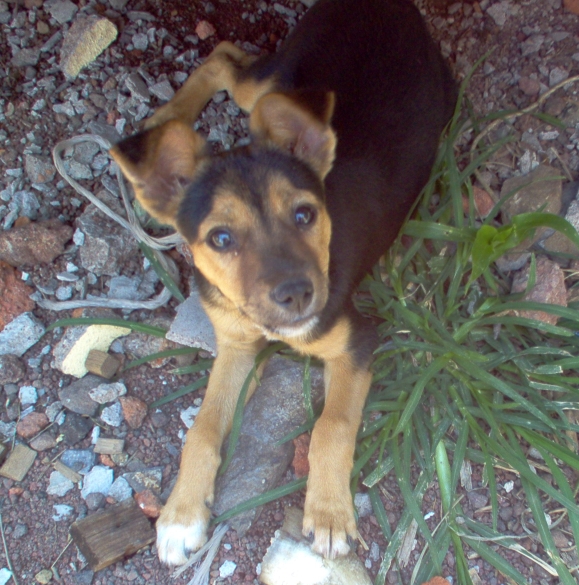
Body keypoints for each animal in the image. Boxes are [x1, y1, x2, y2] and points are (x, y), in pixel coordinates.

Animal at [110, 0, 456, 566]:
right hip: (269, 84)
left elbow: (331, 427)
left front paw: (330, 515)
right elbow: (202, 427)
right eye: (220, 238)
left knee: (229, 58)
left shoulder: (357, 341)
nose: (297, 295)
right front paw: (181, 515)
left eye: (304, 214)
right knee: (224, 57)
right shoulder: (234, 344)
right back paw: (166, 119)